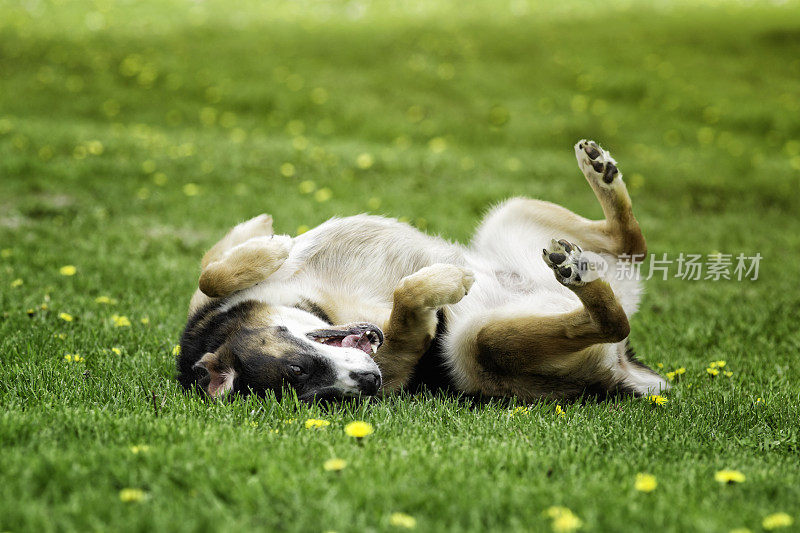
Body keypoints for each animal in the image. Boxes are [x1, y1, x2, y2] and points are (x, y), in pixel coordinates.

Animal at [177, 140, 668, 400]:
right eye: (321, 396)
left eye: (297, 370)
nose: (370, 381)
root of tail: (623, 372)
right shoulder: (399, 359)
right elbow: (407, 300)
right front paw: (441, 283)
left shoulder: (207, 295)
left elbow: (210, 270)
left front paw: (266, 241)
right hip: (477, 347)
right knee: (610, 317)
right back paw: (580, 276)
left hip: (509, 212)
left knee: (633, 246)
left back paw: (600, 173)